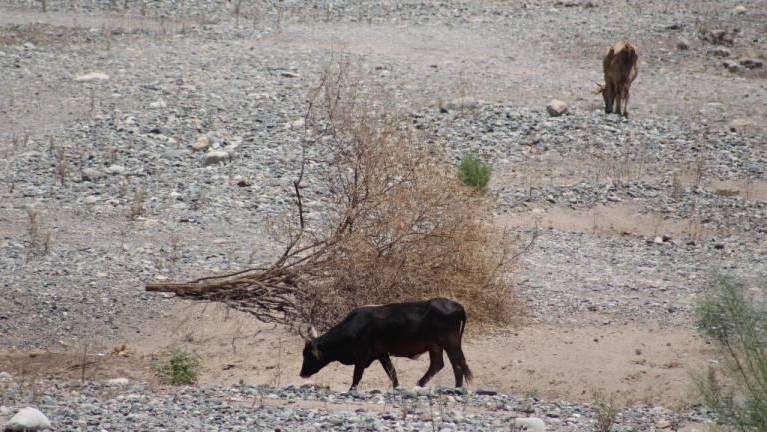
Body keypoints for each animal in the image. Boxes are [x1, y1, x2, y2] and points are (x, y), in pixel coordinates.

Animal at [300, 298, 474, 390]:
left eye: (308, 355)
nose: (302, 374)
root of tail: (459, 306)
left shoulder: (362, 356)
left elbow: (357, 376)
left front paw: (351, 389)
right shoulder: (382, 354)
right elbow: (392, 373)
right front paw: (397, 387)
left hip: (450, 342)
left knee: (458, 363)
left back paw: (456, 387)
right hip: (436, 345)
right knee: (440, 364)